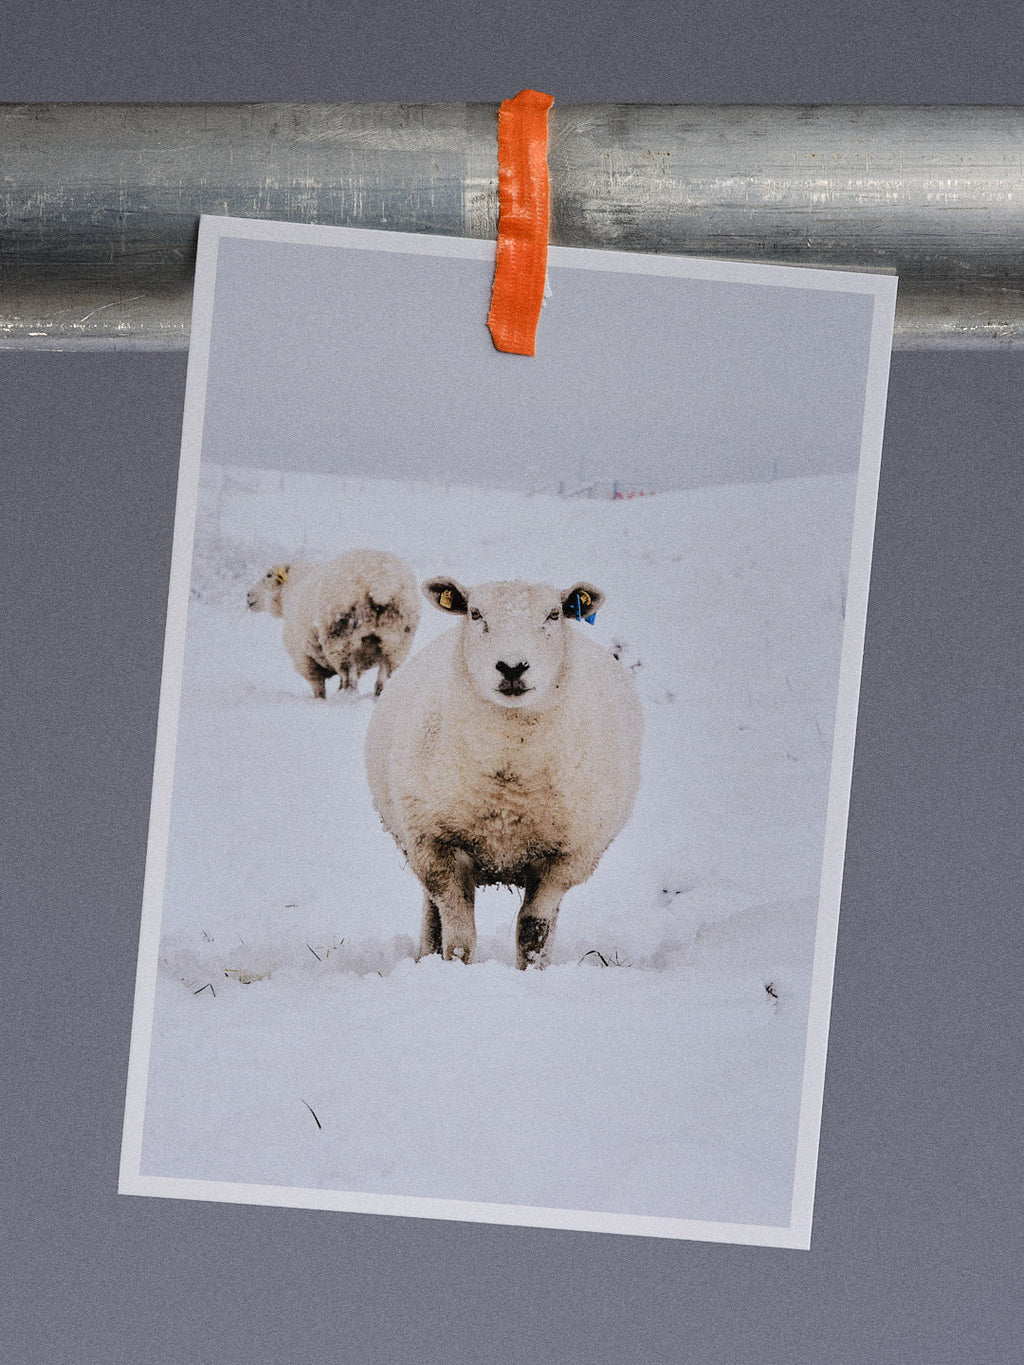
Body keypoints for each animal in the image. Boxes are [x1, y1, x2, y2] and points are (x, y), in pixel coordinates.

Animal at [246, 549, 421, 698]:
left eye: (269, 575)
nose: (248, 596)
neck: (291, 591)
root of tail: (381, 581)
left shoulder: (305, 660)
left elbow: (319, 688)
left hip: (340, 638)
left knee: (350, 681)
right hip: (396, 640)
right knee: (382, 679)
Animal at [365, 577, 643, 968]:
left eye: (554, 614)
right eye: (475, 613)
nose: (512, 667)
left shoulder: (566, 858)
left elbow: (533, 930)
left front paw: (532, 971)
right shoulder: (434, 844)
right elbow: (459, 933)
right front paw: (453, 968)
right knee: (432, 910)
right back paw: (427, 955)